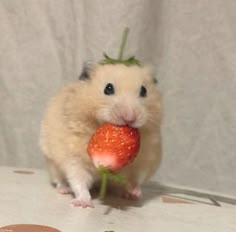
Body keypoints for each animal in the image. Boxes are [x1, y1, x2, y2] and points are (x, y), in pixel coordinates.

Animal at [40, 62, 162, 208]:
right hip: (52, 163)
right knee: (59, 179)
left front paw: (134, 193)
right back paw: (64, 189)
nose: (129, 117)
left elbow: (136, 178)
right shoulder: (75, 158)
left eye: (144, 91)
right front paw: (83, 203)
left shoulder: (144, 161)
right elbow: (79, 181)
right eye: (108, 88)